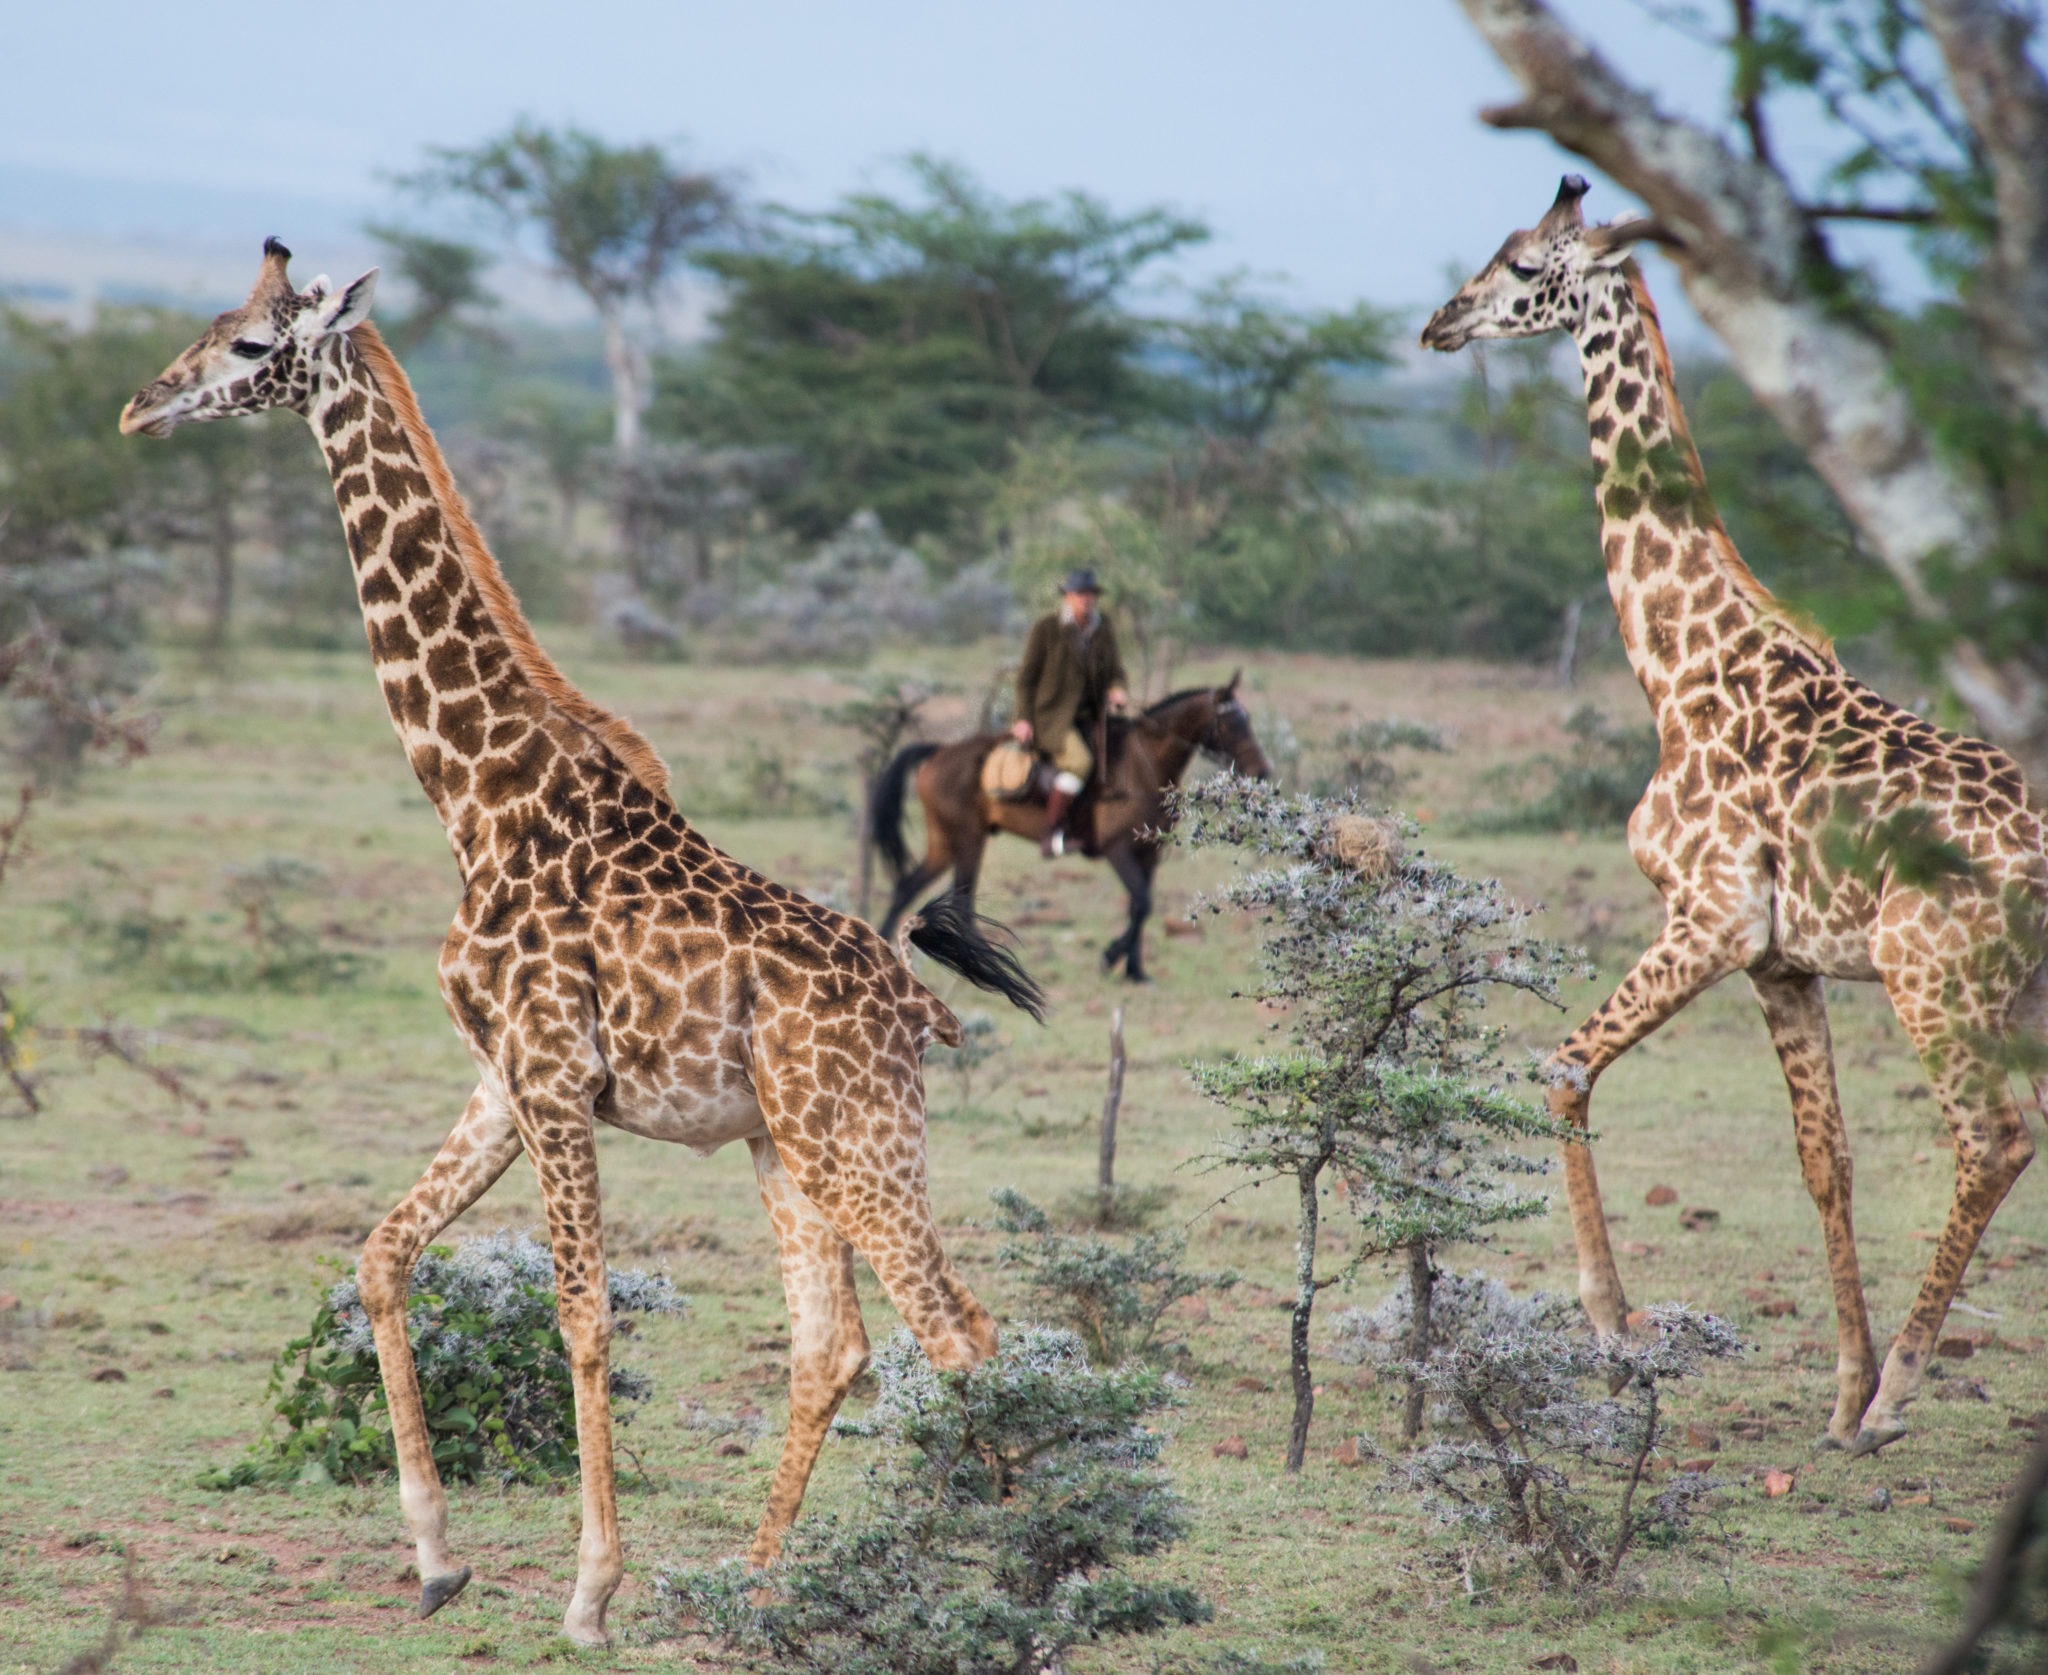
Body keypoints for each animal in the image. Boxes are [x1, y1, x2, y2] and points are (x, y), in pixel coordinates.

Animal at [872, 675, 1274, 982]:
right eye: (1233, 723)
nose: (1262, 772)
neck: (1144, 764)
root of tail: (938, 751)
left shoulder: (1149, 854)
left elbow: (1139, 905)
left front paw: (1134, 970)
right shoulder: (1117, 850)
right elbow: (1142, 902)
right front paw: (1111, 957)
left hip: (945, 843)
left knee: (906, 887)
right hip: (969, 841)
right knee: (961, 902)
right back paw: (981, 961)